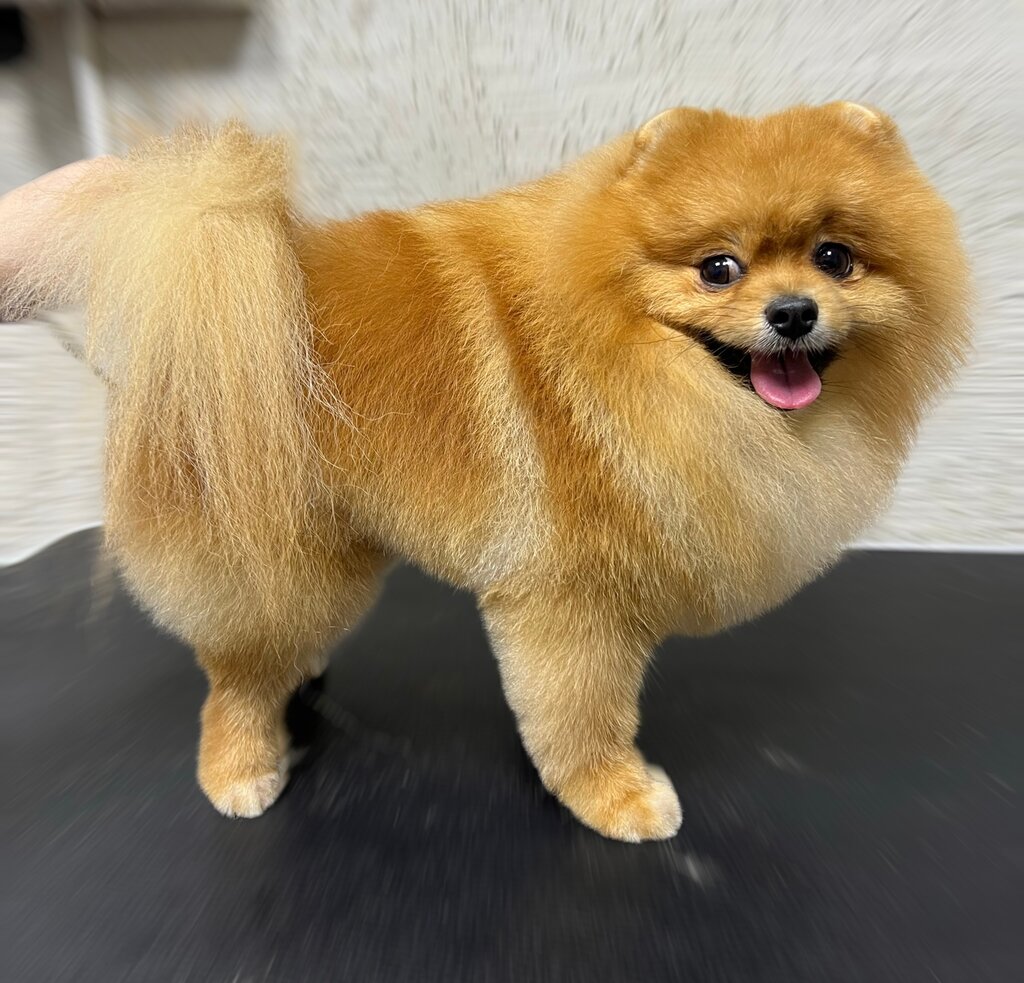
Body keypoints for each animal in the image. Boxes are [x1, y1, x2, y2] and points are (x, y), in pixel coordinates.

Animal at [3, 102, 970, 841]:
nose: (793, 311)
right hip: (271, 539)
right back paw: (240, 766)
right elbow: (582, 713)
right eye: (718, 268)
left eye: (835, 257)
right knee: (234, 674)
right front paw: (613, 795)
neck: (620, 363)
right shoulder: (568, 598)